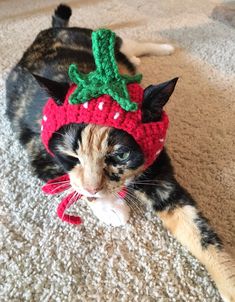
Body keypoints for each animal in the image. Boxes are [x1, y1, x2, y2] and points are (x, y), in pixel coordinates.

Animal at [5, 4, 235, 302]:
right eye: (71, 156)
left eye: (121, 155)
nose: (96, 187)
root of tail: (54, 29)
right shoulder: (38, 153)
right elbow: (72, 182)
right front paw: (113, 209)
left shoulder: (161, 175)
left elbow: (200, 233)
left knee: (127, 45)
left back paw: (163, 48)